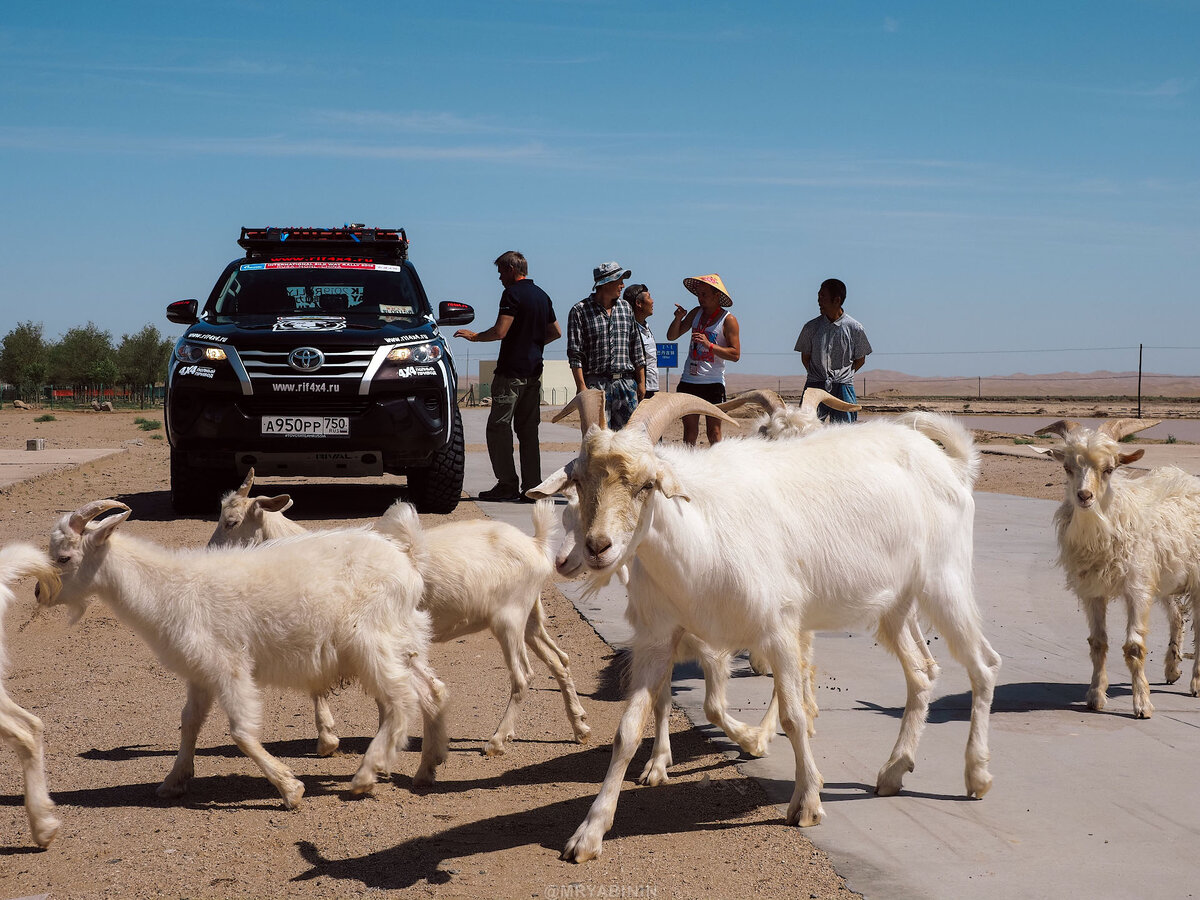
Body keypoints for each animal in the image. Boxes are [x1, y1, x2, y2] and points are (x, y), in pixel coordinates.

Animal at [39, 501, 451, 811]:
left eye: (64, 557)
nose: (38, 593)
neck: (166, 588)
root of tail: (407, 558)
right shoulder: (200, 671)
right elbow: (189, 723)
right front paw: (174, 781)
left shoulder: (229, 666)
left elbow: (241, 731)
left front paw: (290, 789)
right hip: (405, 639)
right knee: (432, 691)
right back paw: (427, 769)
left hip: (371, 641)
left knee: (399, 699)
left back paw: (366, 775)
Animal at [212, 472, 595, 763]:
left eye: (231, 522)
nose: (210, 552)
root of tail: (536, 544)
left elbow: (318, 683)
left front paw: (328, 740)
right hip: (531, 615)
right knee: (559, 660)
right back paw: (580, 728)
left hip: (509, 618)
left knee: (523, 675)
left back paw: (498, 741)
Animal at [537, 391, 1003, 864]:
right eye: (579, 481)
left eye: (647, 484)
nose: (597, 548)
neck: (702, 533)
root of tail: (951, 466)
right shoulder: (656, 640)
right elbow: (628, 730)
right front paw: (588, 834)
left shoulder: (779, 630)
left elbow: (794, 716)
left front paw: (806, 803)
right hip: (895, 606)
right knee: (922, 673)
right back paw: (893, 772)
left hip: (945, 581)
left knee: (984, 665)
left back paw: (977, 776)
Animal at [1032, 420, 1200, 724]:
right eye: (1067, 468)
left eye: (1109, 469)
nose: (1084, 496)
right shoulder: (1093, 591)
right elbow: (1098, 643)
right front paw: (1095, 697)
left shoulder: (1137, 588)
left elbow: (1134, 648)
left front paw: (1143, 704)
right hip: (1165, 578)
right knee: (1176, 616)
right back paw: (1172, 669)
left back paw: (1195, 684)